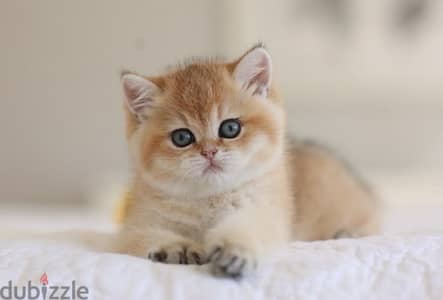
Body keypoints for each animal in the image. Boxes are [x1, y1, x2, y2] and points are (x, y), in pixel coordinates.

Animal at [116, 44, 380, 278]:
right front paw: (177, 247)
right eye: (182, 138)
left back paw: (348, 232)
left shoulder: (264, 211)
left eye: (230, 128)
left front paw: (234, 249)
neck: (208, 199)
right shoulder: (135, 225)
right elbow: (140, 236)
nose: (209, 152)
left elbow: (247, 228)